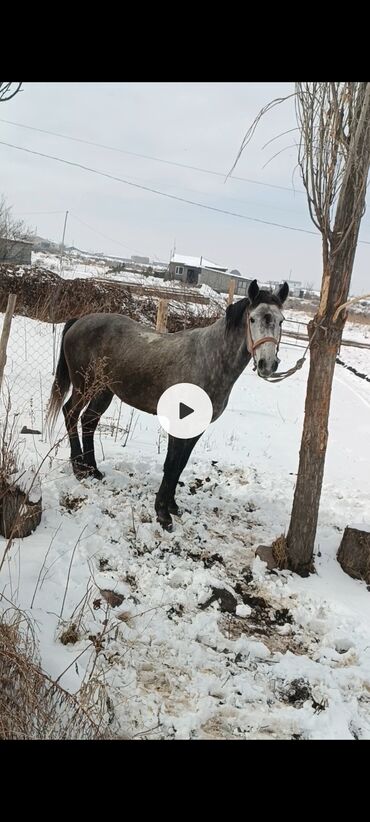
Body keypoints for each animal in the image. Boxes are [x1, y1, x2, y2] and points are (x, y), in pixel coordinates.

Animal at [47, 280, 290, 532]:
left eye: (281, 320)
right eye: (253, 319)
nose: (268, 364)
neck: (208, 359)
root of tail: (79, 321)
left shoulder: (197, 427)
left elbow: (180, 465)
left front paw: (172, 506)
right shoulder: (179, 424)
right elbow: (171, 465)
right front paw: (163, 514)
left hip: (104, 390)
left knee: (89, 421)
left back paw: (93, 470)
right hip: (84, 385)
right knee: (71, 414)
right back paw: (78, 468)